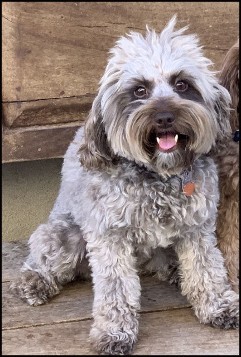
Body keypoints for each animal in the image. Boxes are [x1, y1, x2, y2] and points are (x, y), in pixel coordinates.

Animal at [10, 16, 238, 354]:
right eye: (139, 90)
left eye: (182, 84)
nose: (165, 116)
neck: (158, 174)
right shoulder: (109, 238)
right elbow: (116, 289)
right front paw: (114, 332)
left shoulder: (197, 229)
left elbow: (207, 269)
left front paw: (219, 306)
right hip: (63, 234)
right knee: (42, 259)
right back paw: (34, 282)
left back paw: (173, 270)